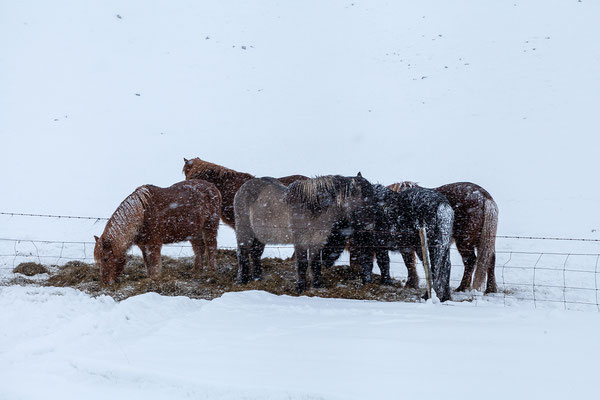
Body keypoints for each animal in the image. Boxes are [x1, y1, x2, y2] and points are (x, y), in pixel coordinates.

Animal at [233, 173, 376, 292]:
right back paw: (242, 280)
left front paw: (318, 285)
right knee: (243, 254)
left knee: (256, 254)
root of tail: (243, 188)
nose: (371, 225)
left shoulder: (317, 241)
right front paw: (300, 287)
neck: (313, 210)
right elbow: (302, 263)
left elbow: (315, 263)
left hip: (260, 236)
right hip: (244, 232)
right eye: (363, 201)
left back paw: (257, 278)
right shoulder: (300, 241)